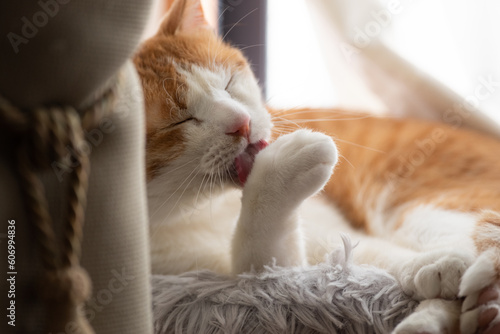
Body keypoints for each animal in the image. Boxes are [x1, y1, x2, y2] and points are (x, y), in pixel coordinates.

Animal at [133, 0, 500, 334]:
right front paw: (282, 167)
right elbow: (263, 253)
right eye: (181, 121)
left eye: (228, 83)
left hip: (418, 207)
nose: (242, 122)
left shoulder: (327, 230)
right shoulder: (232, 275)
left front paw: (431, 263)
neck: (205, 208)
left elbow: (375, 253)